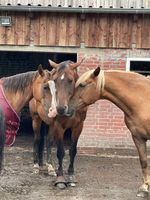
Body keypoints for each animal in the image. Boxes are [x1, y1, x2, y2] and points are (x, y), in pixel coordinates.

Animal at [29, 58, 86, 188]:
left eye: (71, 80)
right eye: (55, 81)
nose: (59, 109)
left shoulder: (78, 127)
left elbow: (73, 151)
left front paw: (71, 176)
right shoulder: (59, 127)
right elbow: (60, 152)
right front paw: (60, 178)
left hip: (49, 124)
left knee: (48, 141)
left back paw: (49, 167)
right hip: (36, 119)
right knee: (37, 139)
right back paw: (36, 166)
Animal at [70, 67, 150, 197]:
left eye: (82, 85)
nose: (66, 107)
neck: (143, 100)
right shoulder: (138, 138)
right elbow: (143, 162)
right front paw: (144, 188)